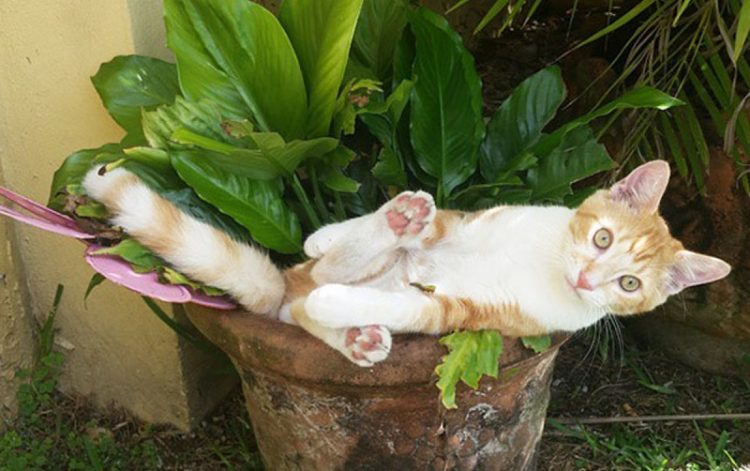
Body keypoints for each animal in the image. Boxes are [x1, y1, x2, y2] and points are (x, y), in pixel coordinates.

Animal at [83, 162, 736, 368]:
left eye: (628, 283)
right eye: (602, 237)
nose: (586, 279)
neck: (547, 264)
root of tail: (283, 286)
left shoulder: (465, 313)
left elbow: (411, 307)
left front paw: (348, 311)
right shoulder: (469, 222)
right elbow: (442, 217)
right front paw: (324, 233)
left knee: (309, 304)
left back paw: (354, 335)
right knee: (328, 270)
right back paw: (388, 224)